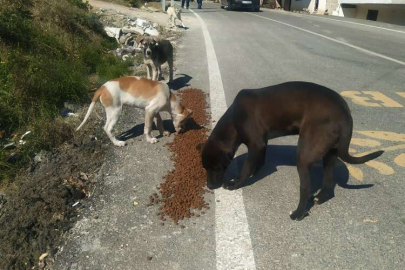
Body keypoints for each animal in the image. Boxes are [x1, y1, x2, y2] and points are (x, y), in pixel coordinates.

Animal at [199, 81, 382, 220]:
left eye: (217, 168)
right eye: (205, 168)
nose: (210, 186)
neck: (233, 120)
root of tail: (345, 114)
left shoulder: (256, 144)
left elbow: (245, 168)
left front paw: (236, 183)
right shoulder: (262, 143)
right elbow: (259, 162)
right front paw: (255, 173)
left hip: (304, 156)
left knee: (306, 188)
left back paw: (299, 213)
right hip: (330, 153)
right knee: (328, 179)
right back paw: (321, 197)